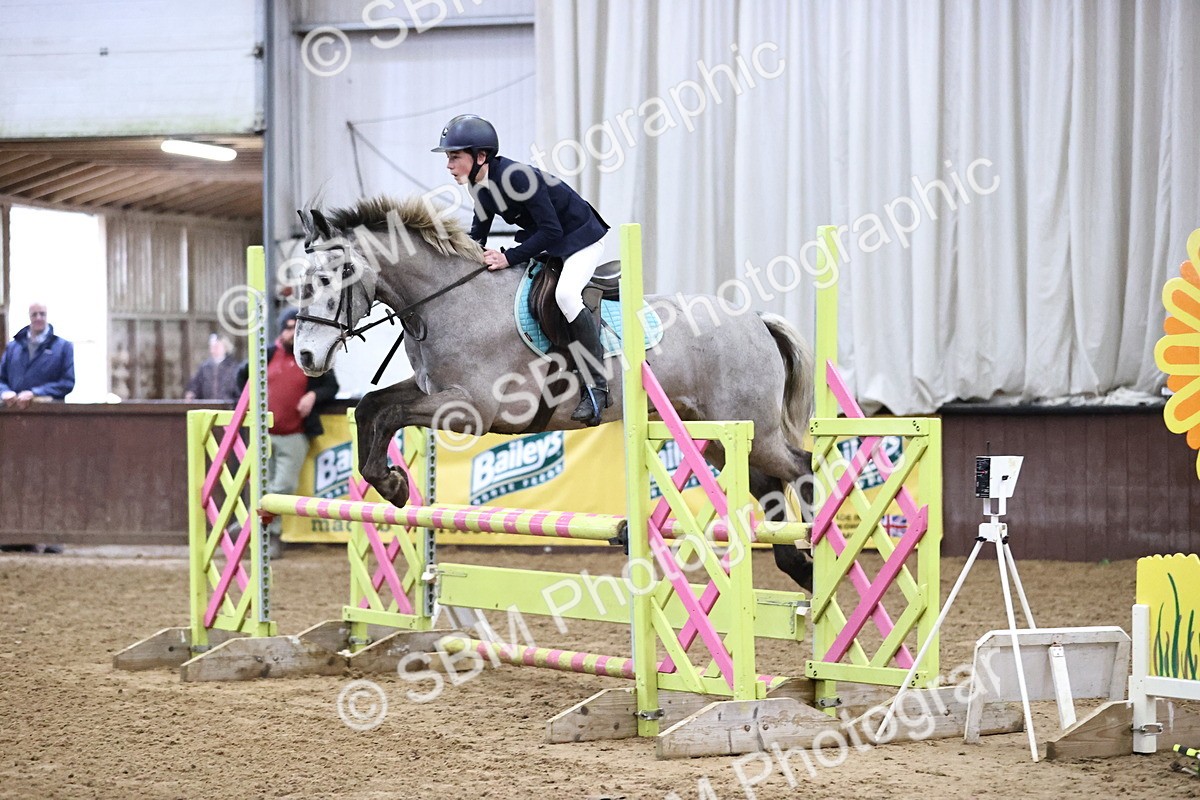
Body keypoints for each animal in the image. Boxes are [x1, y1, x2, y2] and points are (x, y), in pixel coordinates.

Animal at [293, 196, 816, 589]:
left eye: (328, 278)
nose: (305, 357)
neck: (449, 302)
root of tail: (754, 320)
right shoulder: (432, 392)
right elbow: (371, 407)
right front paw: (390, 483)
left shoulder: (472, 409)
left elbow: (389, 414)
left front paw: (393, 484)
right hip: (711, 435)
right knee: (767, 485)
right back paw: (799, 566)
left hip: (753, 428)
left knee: (801, 465)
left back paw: (817, 546)